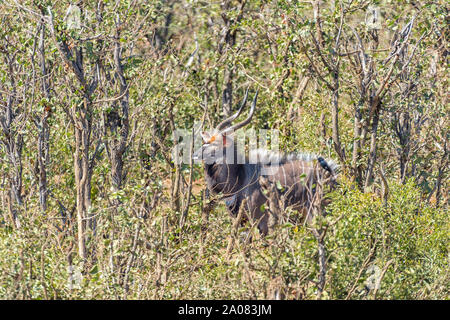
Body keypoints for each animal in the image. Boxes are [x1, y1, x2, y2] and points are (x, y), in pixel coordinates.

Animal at [193, 90, 338, 235]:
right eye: (205, 142)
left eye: (214, 143)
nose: (195, 155)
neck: (240, 176)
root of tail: (332, 176)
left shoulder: (261, 221)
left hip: (314, 213)